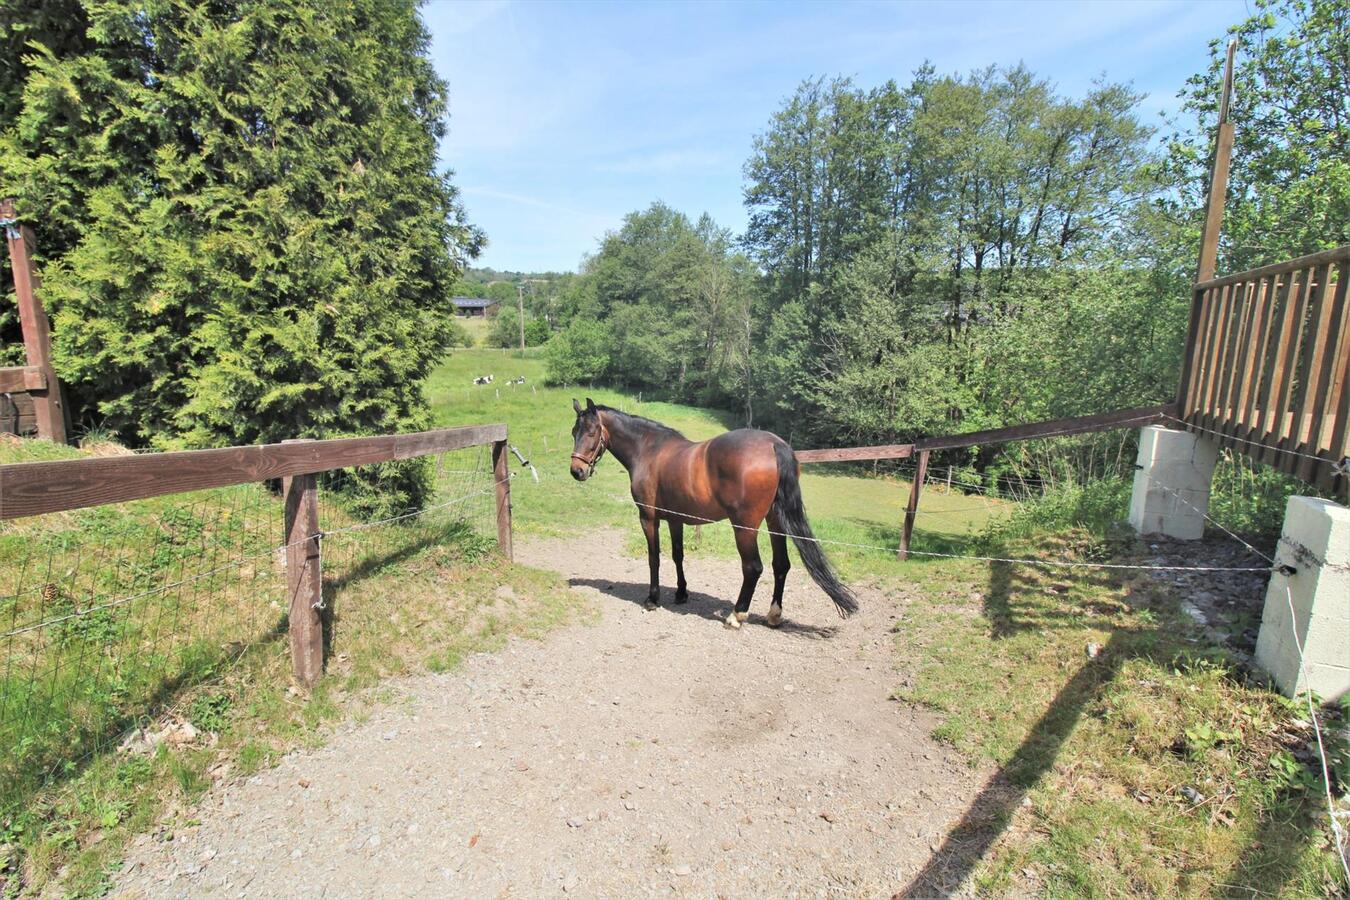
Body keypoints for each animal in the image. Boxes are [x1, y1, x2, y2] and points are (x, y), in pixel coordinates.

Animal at [569, 396, 853, 631]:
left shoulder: (649, 518)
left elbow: (654, 557)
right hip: (775, 522)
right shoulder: (675, 519)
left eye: (592, 432)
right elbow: (678, 555)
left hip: (745, 528)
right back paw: (773, 616)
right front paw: (681, 593)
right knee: (780, 565)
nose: (576, 471)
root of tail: (774, 445)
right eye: (574, 432)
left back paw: (736, 616)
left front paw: (652, 598)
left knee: (753, 567)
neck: (649, 450)